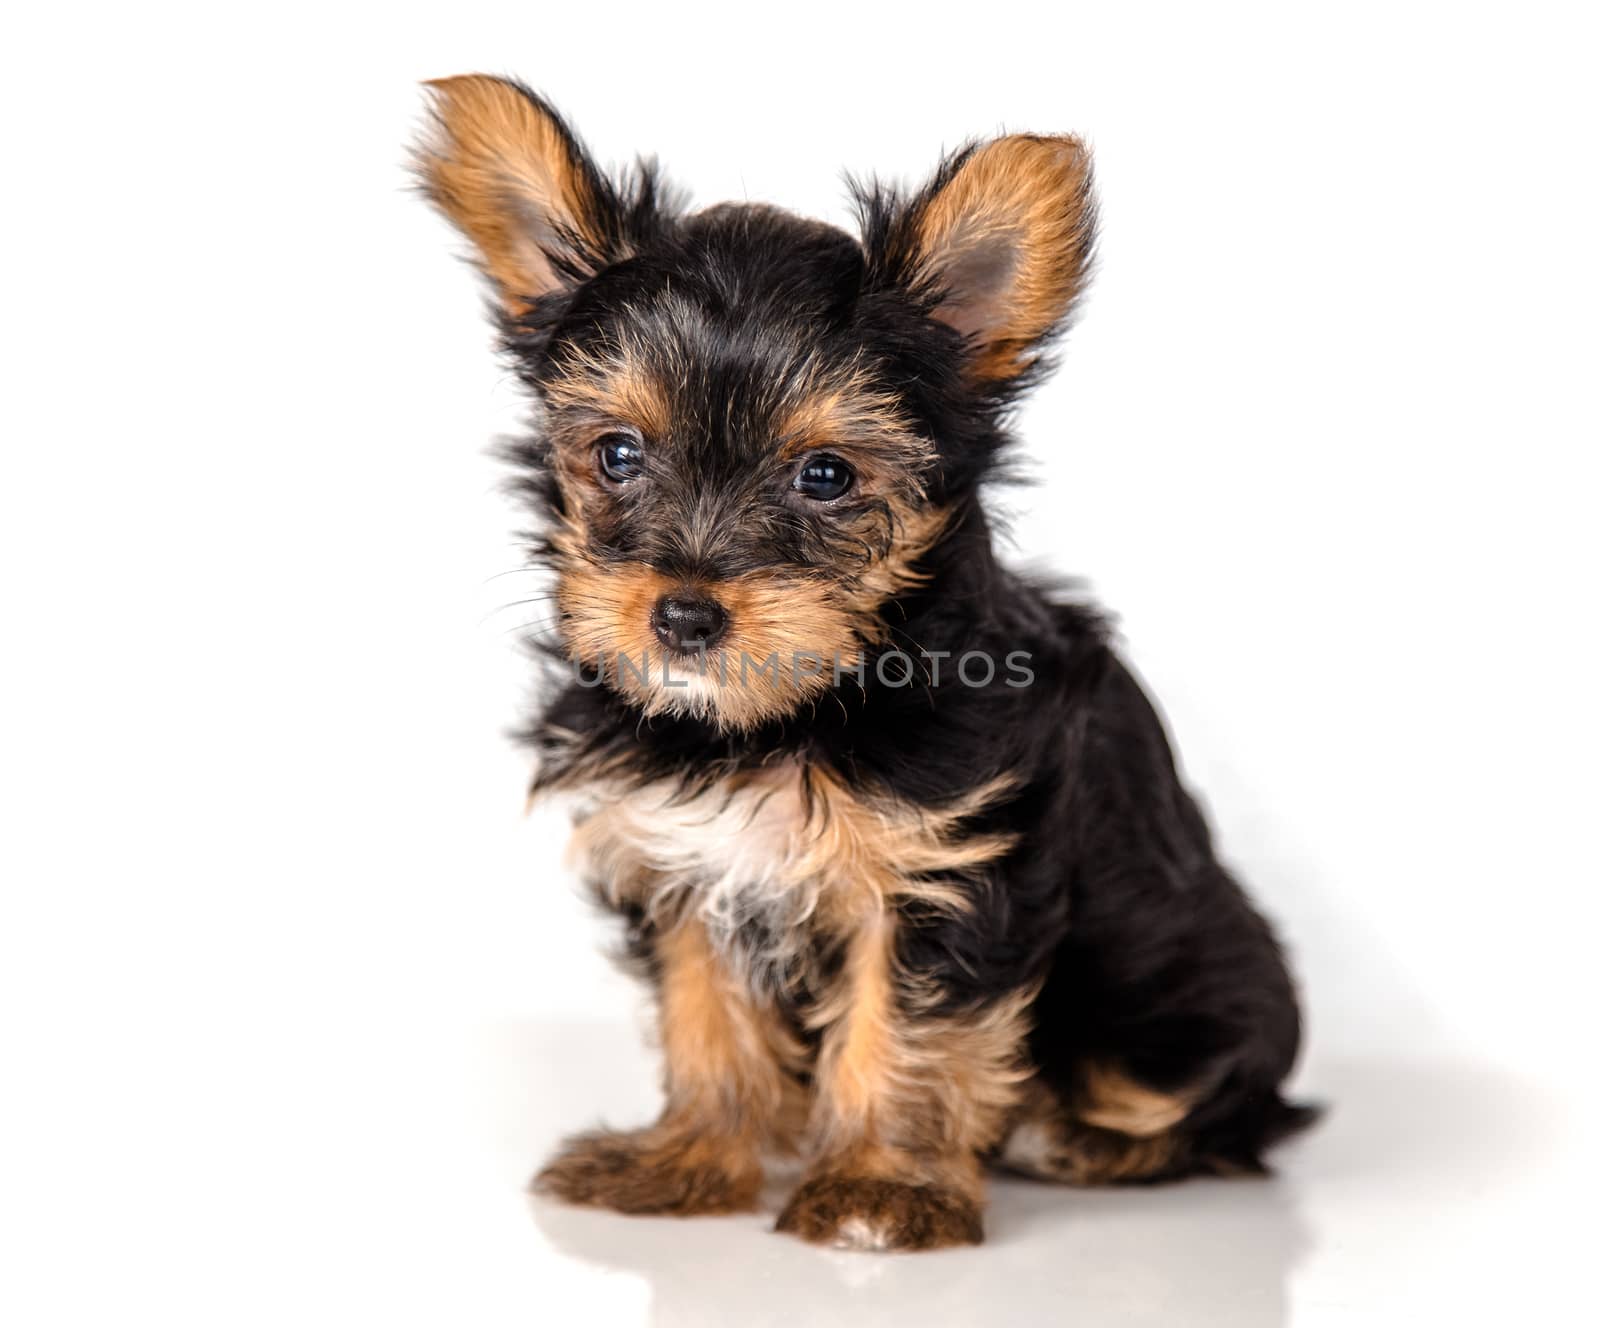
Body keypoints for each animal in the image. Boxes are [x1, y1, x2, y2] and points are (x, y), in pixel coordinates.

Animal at [412, 78, 1312, 1254]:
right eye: (618, 454)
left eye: (826, 476)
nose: (684, 615)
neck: (785, 713)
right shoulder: (683, 857)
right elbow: (704, 1011)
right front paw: (692, 1158)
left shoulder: (945, 871)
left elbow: (908, 1027)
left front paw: (883, 1185)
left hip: (1179, 1003)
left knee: (1219, 1105)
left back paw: (1086, 1143)